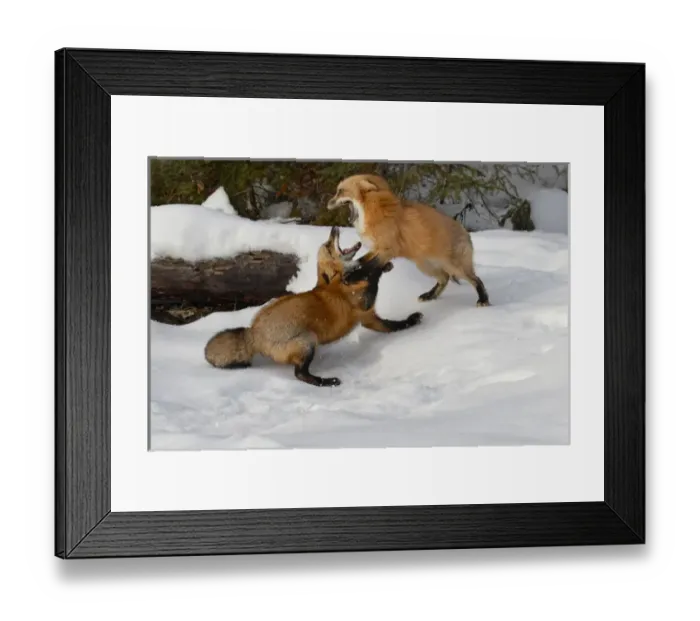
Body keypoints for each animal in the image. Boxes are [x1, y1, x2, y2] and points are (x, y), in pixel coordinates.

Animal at [204, 226, 423, 387]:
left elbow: (392, 324)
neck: (340, 282)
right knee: (300, 374)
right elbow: (372, 276)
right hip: (308, 342)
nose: (334, 228)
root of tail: (253, 331)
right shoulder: (364, 305)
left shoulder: (369, 316)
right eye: (328, 246)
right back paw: (325, 381)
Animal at [326, 173, 491, 307]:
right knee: (444, 279)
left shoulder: (387, 250)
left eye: (340, 191)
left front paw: (351, 277)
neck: (374, 212)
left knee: (475, 279)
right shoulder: (376, 249)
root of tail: (465, 231)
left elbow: (368, 266)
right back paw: (429, 296)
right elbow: (361, 261)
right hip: (426, 267)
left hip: (454, 267)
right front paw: (349, 270)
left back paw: (483, 299)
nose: (327, 204)